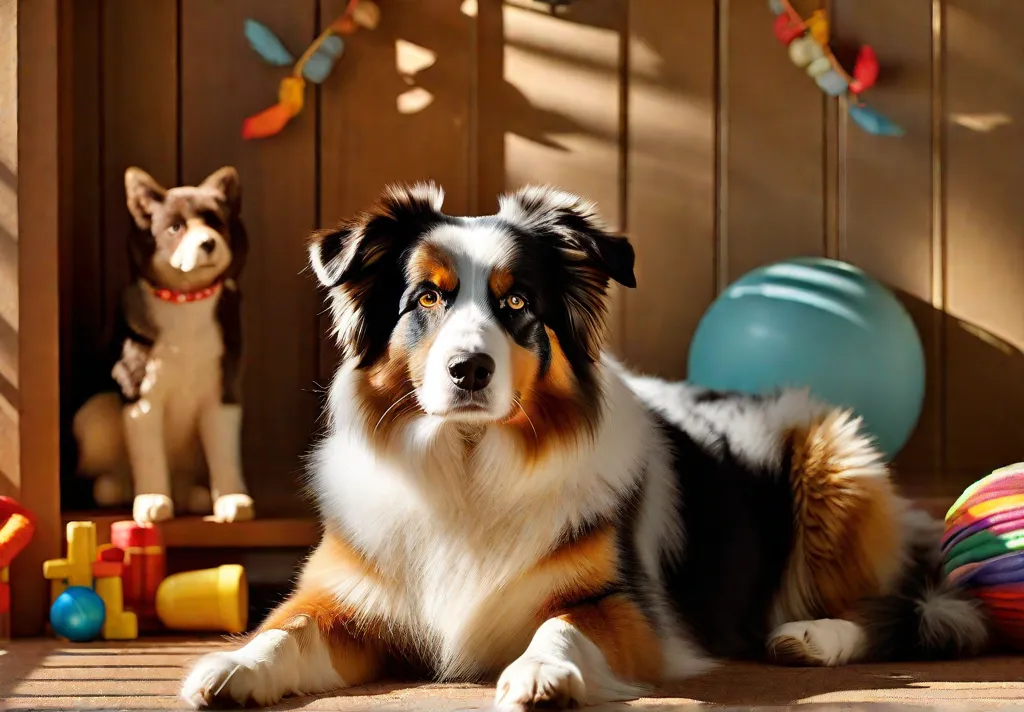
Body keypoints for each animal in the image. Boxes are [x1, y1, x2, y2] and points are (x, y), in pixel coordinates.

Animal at [180, 185, 987, 712]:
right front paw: (234, 665)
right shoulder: (342, 594)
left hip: (832, 456)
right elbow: (285, 630)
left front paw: (541, 674)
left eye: (516, 303)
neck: (469, 463)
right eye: (427, 299)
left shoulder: (621, 605)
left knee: (890, 608)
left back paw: (812, 638)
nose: (468, 369)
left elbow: (560, 624)